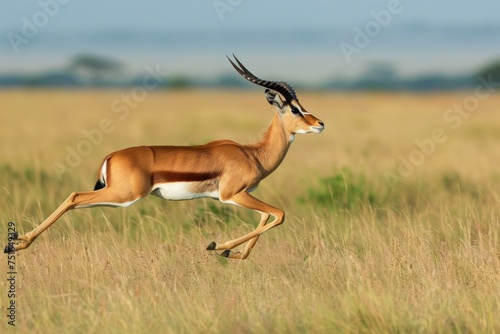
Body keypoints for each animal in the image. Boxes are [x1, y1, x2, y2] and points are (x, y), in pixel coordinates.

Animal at [4, 54, 324, 260]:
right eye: (294, 109)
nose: (320, 123)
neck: (253, 153)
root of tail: (110, 155)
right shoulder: (233, 194)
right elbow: (278, 214)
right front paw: (217, 245)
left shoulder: (243, 195)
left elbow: (265, 217)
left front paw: (231, 252)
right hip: (124, 195)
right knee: (74, 196)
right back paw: (17, 244)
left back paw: (17, 243)